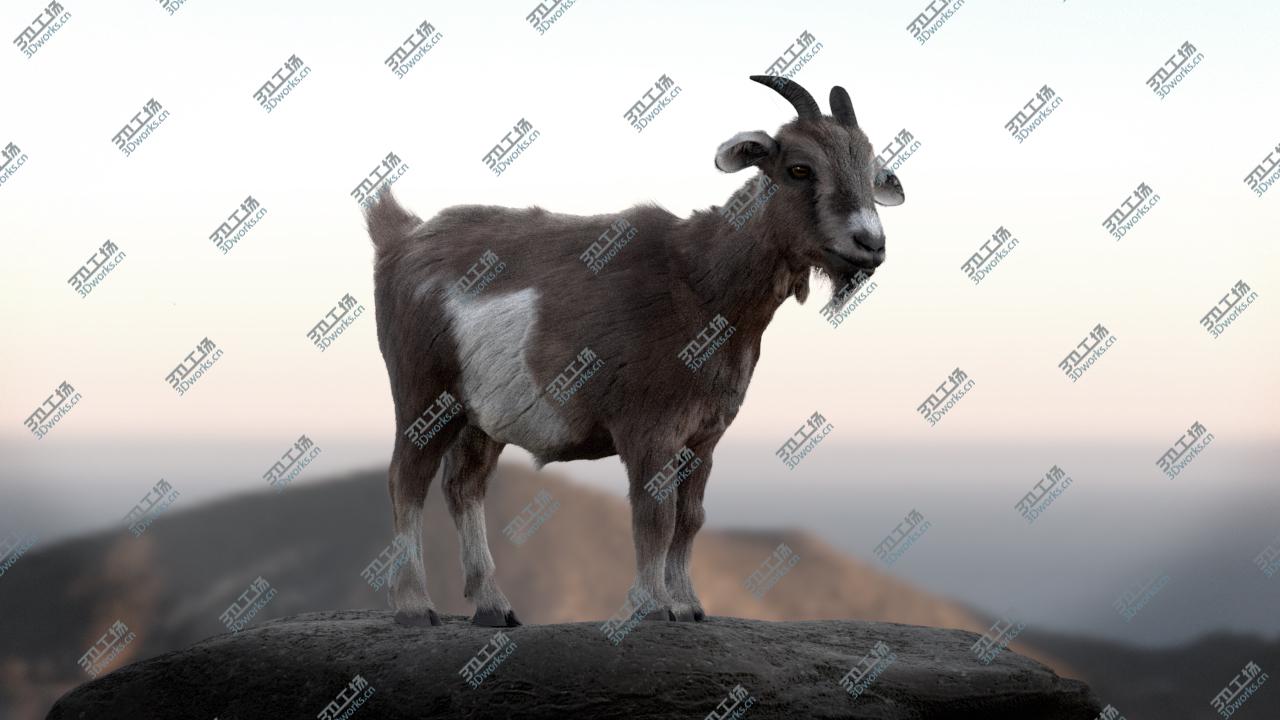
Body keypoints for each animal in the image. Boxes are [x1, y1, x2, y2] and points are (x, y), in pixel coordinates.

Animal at [364, 75, 905, 627]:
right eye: (799, 168)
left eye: (870, 171)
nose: (870, 243)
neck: (699, 282)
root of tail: (400, 237)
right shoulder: (649, 428)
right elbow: (655, 515)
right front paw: (651, 605)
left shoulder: (703, 437)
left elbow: (690, 517)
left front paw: (687, 604)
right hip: (424, 393)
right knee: (405, 481)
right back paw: (415, 606)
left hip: (482, 415)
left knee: (463, 486)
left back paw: (493, 605)